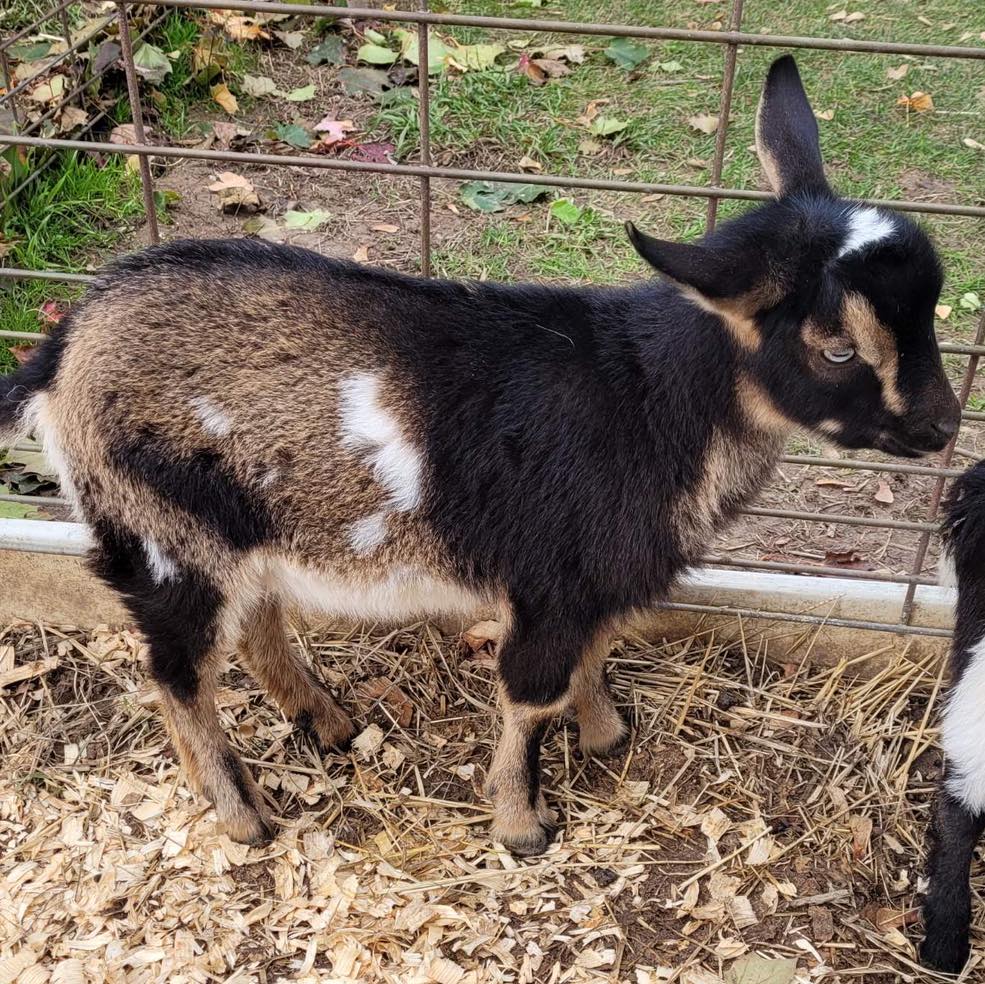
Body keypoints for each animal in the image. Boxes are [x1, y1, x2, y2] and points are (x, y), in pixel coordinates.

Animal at [0, 56, 960, 855]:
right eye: (837, 348)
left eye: (928, 308)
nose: (943, 428)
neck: (648, 400)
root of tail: (60, 353)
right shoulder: (552, 577)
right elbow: (529, 696)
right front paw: (522, 823)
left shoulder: (593, 581)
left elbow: (592, 656)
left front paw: (605, 734)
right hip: (162, 533)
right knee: (175, 672)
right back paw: (243, 817)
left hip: (237, 531)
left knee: (256, 625)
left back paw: (328, 724)